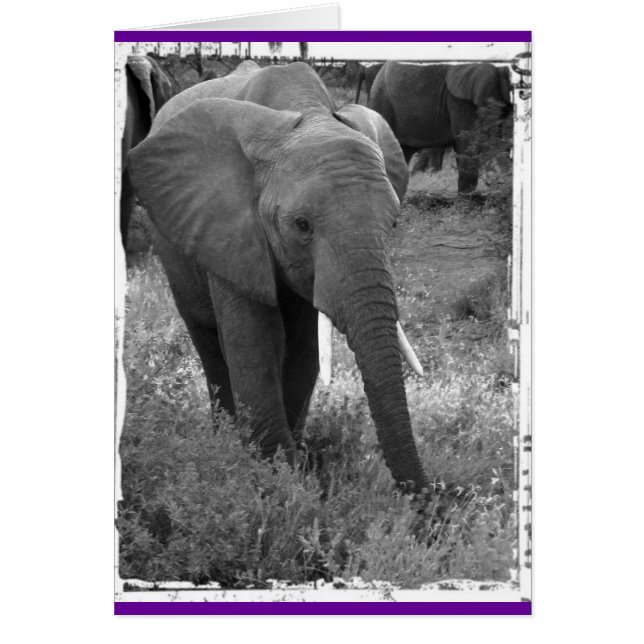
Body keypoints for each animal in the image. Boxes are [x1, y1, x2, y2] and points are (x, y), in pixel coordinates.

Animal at [127, 61, 431, 495]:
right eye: (301, 225)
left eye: (392, 223)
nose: (434, 496)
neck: (307, 116)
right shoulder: (229, 228)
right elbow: (257, 339)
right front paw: (275, 479)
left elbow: (305, 346)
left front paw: (292, 474)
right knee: (205, 334)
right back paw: (223, 438)